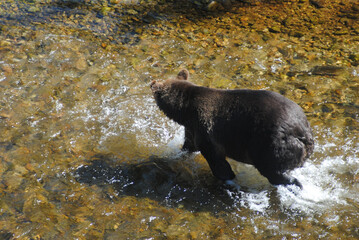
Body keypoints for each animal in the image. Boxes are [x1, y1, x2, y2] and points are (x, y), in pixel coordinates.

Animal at [150, 69, 314, 188]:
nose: (152, 83)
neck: (186, 110)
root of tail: (301, 130)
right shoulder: (192, 128)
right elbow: (189, 145)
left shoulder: (206, 129)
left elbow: (215, 159)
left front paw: (227, 177)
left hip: (270, 145)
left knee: (272, 170)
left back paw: (294, 184)